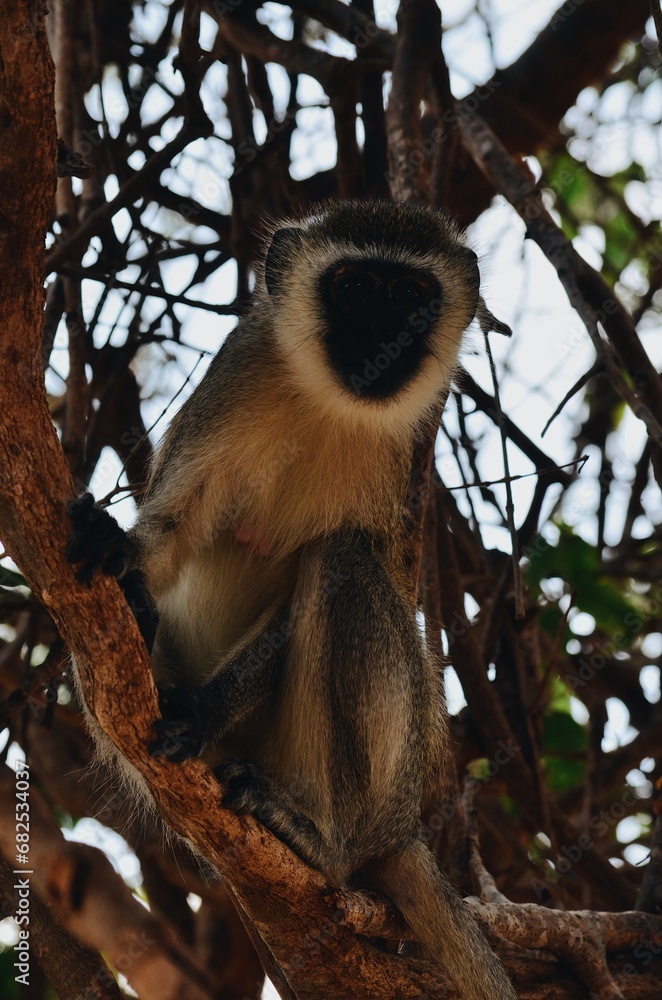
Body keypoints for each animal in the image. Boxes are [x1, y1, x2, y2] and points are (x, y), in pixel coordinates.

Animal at [69, 200, 517, 1000]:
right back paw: (142, 628)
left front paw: (200, 711)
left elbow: (336, 579)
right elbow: (173, 529)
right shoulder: (234, 378)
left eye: (411, 296)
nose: (379, 339)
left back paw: (317, 839)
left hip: (377, 779)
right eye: (353, 286)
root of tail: (405, 826)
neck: (326, 403)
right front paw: (119, 554)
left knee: (343, 563)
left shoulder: (403, 457)